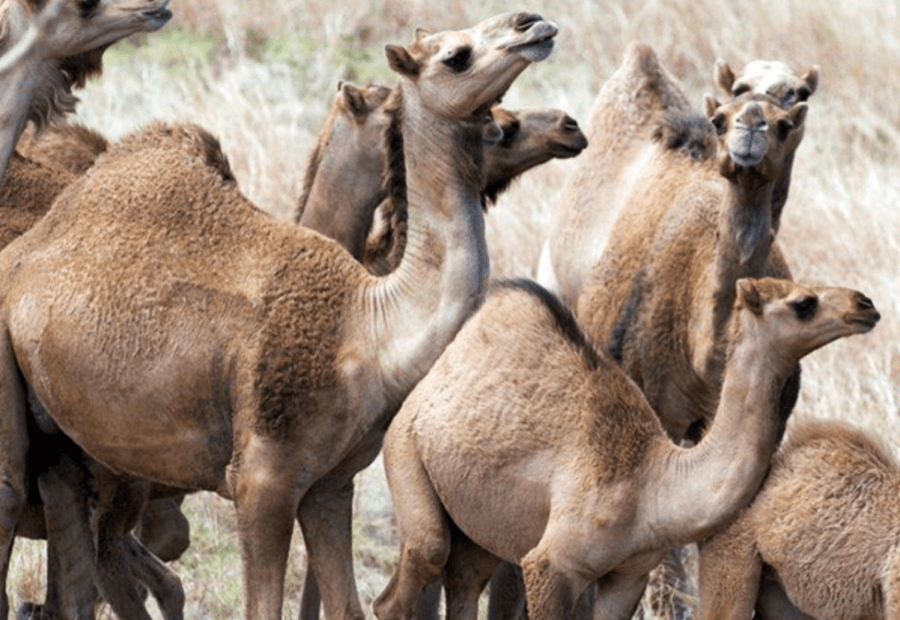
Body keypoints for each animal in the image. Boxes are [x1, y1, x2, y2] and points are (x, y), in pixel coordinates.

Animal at [0, 12, 558, 620]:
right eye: (457, 56)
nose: (533, 23)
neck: (369, 328)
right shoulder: (261, 481)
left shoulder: (330, 485)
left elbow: (345, 605)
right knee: (16, 500)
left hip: (77, 445)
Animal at [373, 276, 879, 620]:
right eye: (803, 303)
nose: (867, 304)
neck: (653, 483)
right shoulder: (551, 566)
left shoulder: (631, 573)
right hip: (402, 450)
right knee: (412, 572)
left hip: (480, 525)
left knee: (463, 579)